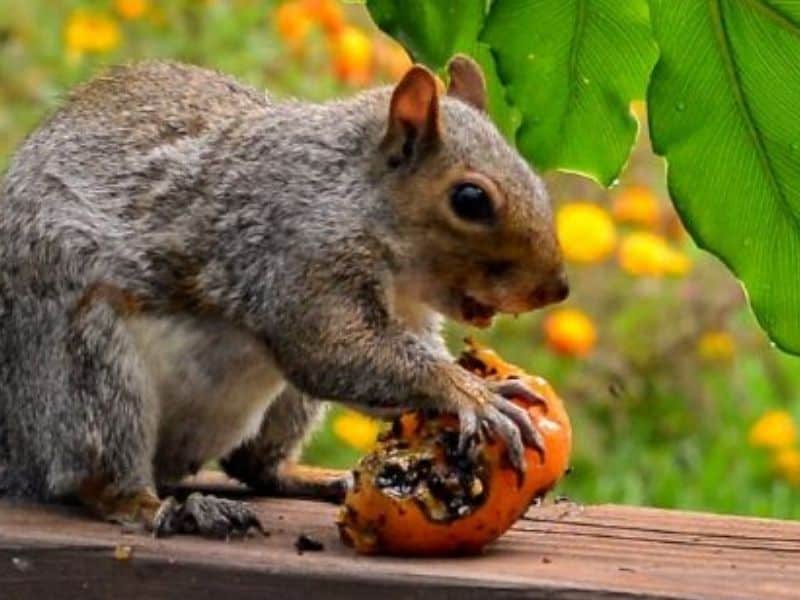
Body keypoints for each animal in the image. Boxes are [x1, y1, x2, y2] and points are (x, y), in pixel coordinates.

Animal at [0, 54, 568, 536]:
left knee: (254, 465)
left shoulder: (409, 311)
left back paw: (312, 478)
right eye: (469, 199)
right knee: (97, 474)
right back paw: (164, 508)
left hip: (285, 405)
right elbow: (333, 351)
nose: (555, 288)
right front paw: (469, 393)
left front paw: (481, 381)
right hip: (89, 367)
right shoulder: (297, 257)